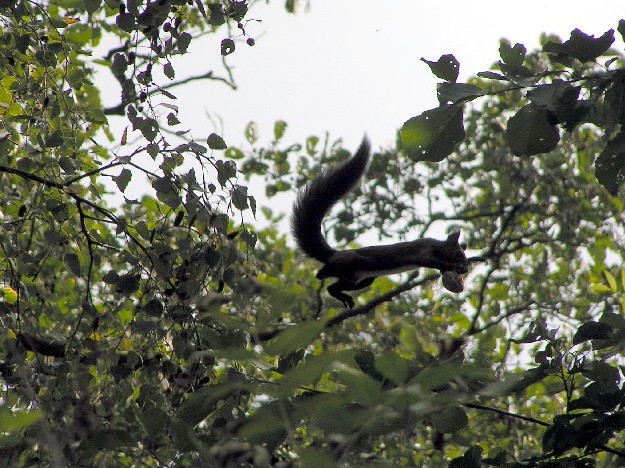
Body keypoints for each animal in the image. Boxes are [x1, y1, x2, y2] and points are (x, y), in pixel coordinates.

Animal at [292, 136, 468, 308]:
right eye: (458, 253)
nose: (465, 269)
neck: (437, 246)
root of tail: (334, 254)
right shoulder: (424, 251)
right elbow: (428, 260)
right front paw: (451, 267)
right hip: (354, 262)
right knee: (323, 273)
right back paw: (323, 274)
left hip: (360, 278)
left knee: (333, 287)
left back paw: (342, 296)